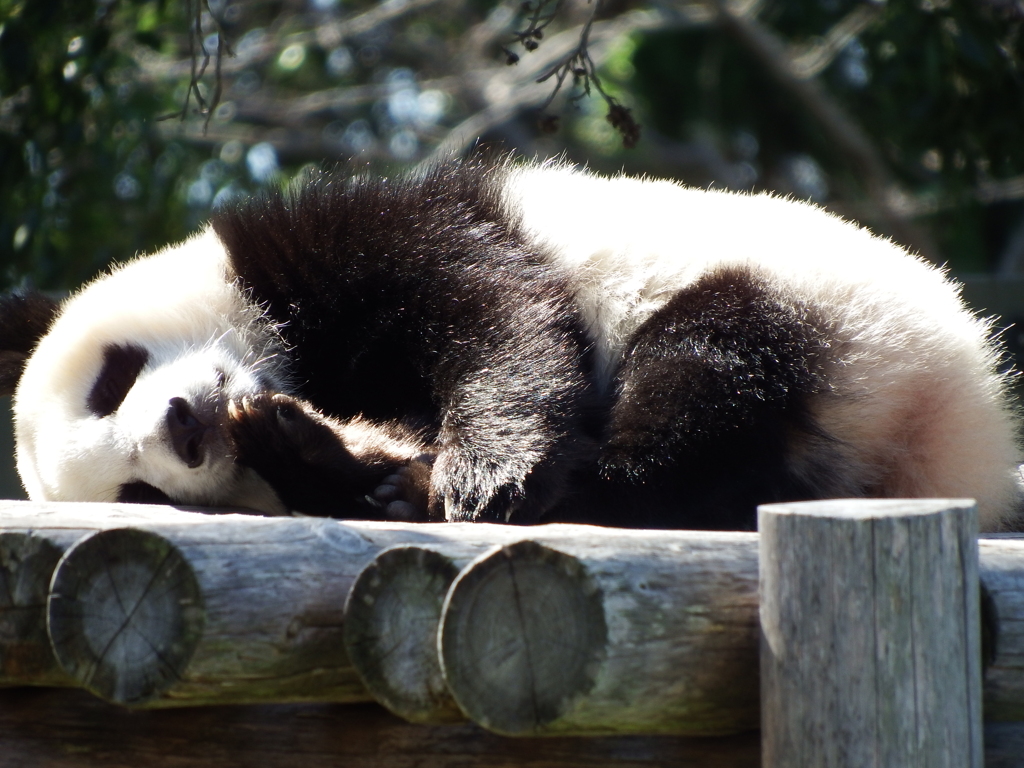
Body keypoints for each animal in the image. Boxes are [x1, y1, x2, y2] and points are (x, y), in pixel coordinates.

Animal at [0, 159, 1019, 532]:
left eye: (111, 378)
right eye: (139, 493)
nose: (183, 427)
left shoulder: (339, 240)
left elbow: (485, 304)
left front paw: (489, 471)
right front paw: (326, 452)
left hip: (832, 314)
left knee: (710, 370)